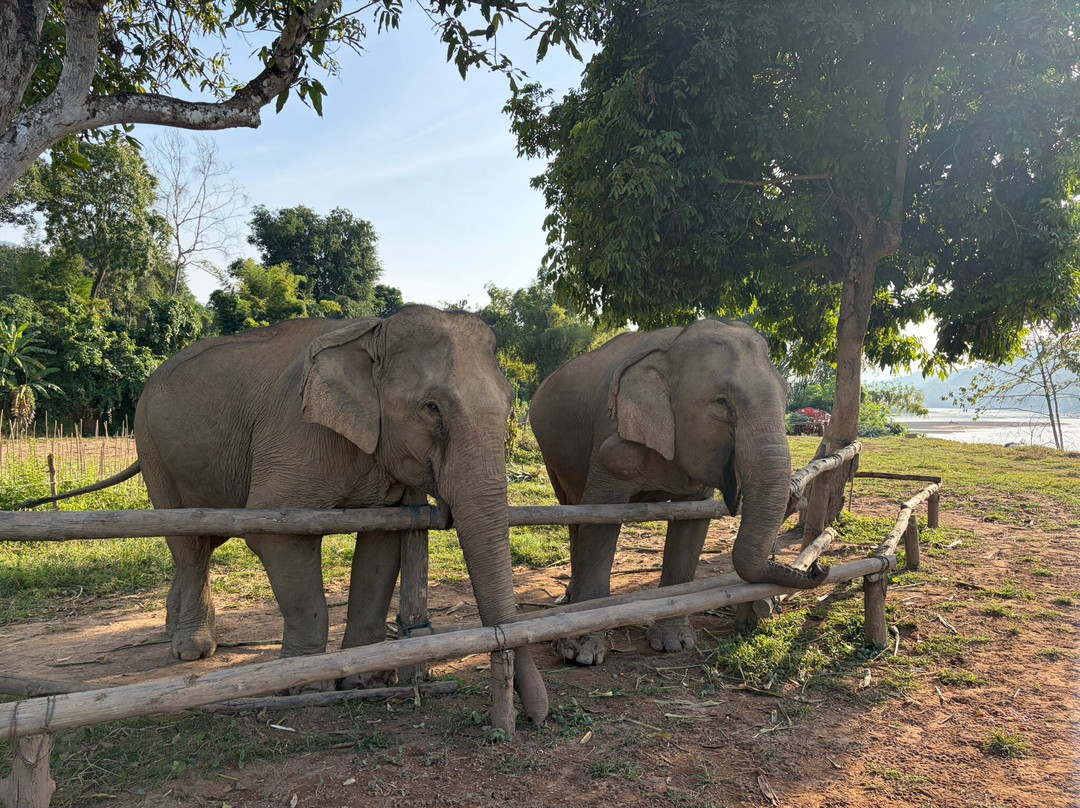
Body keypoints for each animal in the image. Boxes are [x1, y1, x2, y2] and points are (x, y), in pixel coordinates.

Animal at [25, 305, 547, 726]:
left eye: (509, 407)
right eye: (432, 407)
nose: (532, 718)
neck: (373, 331)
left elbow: (380, 544)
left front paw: (365, 680)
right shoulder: (294, 438)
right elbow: (276, 533)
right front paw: (305, 685)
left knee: (202, 540)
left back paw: (176, 628)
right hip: (150, 445)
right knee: (187, 539)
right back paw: (191, 647)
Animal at [529, 318, 828, 666]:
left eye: (785, 397)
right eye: (721, 403)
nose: (819, 567)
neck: (673, 346)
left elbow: (691, 523)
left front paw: (674, 643)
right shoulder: (609, 429)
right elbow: (600, 516)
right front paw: (581, 654)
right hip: (551, 454)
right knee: (574, 512)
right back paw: (570, 607)